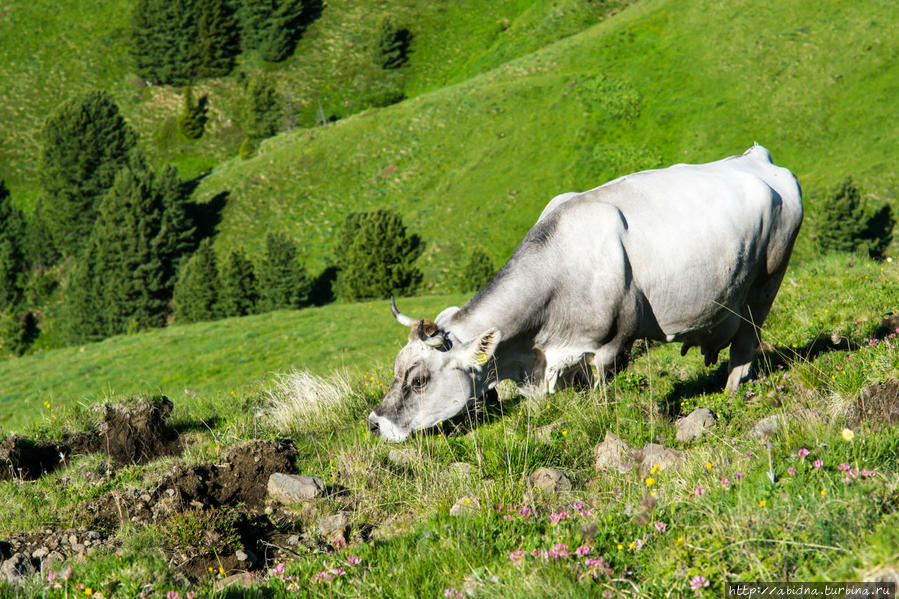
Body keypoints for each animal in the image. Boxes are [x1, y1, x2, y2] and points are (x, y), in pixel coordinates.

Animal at [370, 145, 804, 442]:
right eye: (396, 369)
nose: (375, 423)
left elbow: (601, 400)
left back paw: (732, 392)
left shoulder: (612, 346)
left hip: (766, 283)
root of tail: (756, 157)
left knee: (746, 344)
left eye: (419, 380)